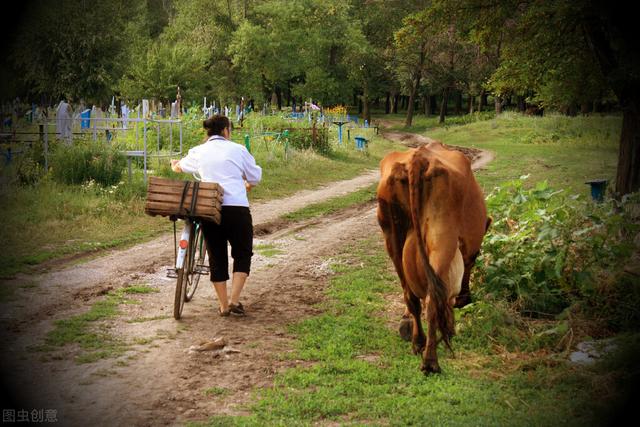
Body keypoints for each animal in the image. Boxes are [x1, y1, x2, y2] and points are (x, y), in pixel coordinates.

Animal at [376, 141, 490, 374]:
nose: (466, 299)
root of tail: (418, 158)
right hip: (442, 238)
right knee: (432, 300)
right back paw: (430, 362)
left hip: (392, 236)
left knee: (411, 296)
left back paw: (418, 342)